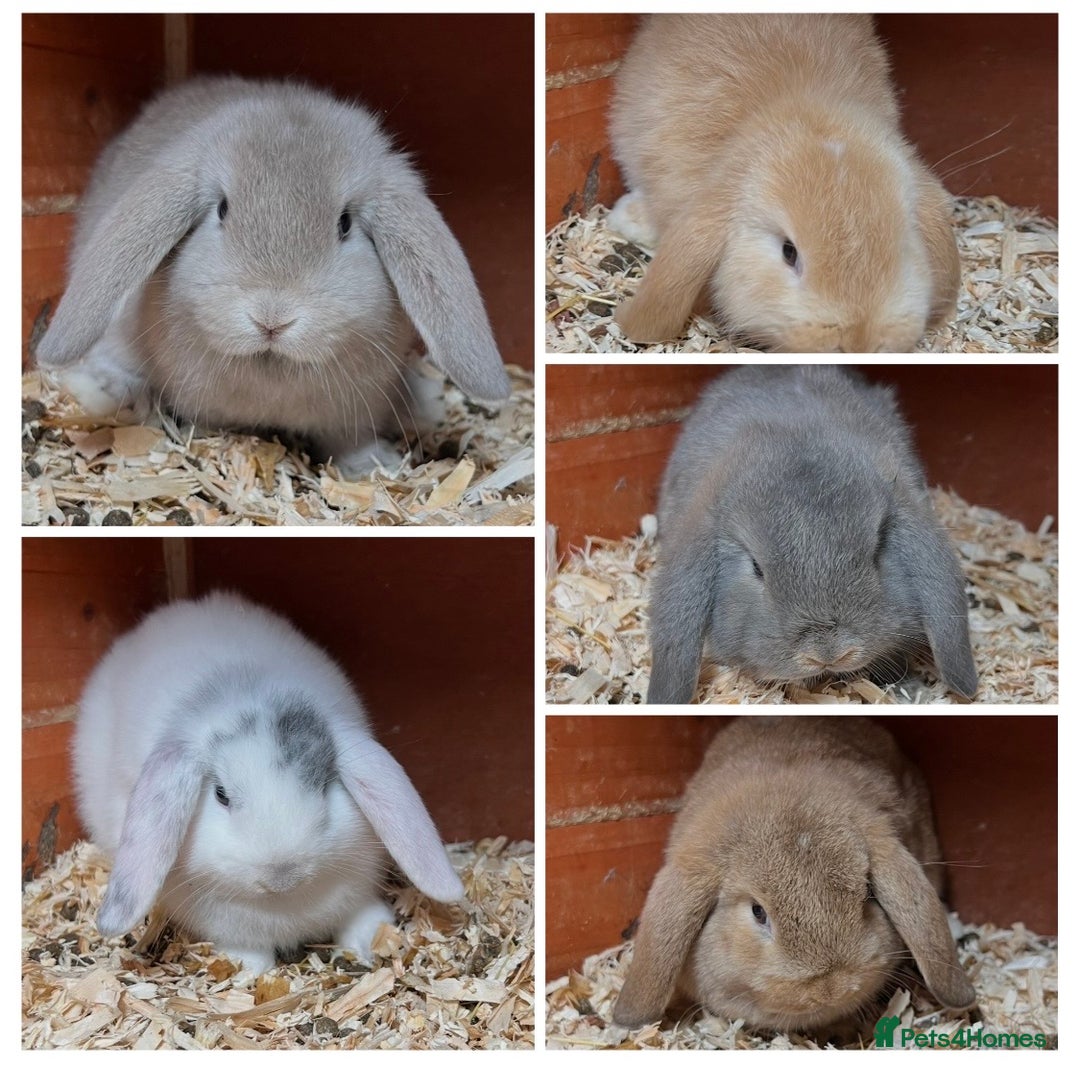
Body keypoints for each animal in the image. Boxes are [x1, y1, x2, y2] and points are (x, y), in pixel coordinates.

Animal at [34, 76, 510, 478]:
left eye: (344, 224)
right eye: (223, 209)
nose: (272, 320)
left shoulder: (353, 412)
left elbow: (351, 441)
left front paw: (376, 467)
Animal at [70, 591, 464, 976]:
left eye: (324, 785)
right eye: (221, 795)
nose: (282, 874)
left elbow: (359, 917)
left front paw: (369, 940)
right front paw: (247, 970)